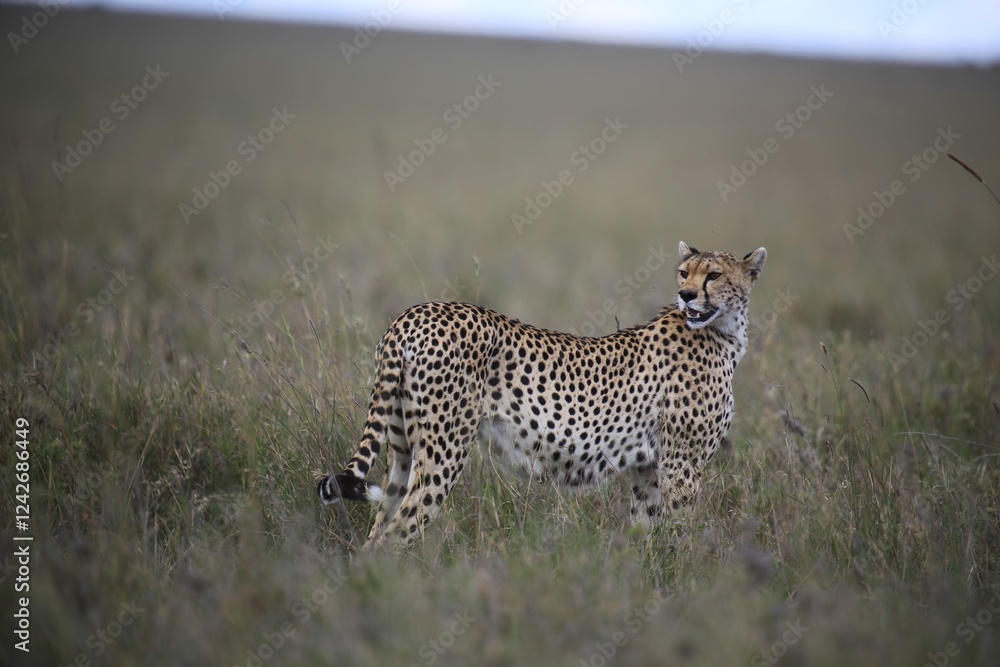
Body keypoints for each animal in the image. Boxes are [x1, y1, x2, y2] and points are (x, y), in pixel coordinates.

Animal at [318, 241, 766, 549]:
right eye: (683, 273)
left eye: (713, 275)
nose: (686, 295)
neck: (722, 331)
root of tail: (412, 314)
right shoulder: (680, 465)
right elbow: (680, 532)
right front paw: (684, 578)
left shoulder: (649, 468)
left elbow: (645, 533)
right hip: (443, 453)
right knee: (397, 534)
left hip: (402, 453)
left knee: (377, 534)